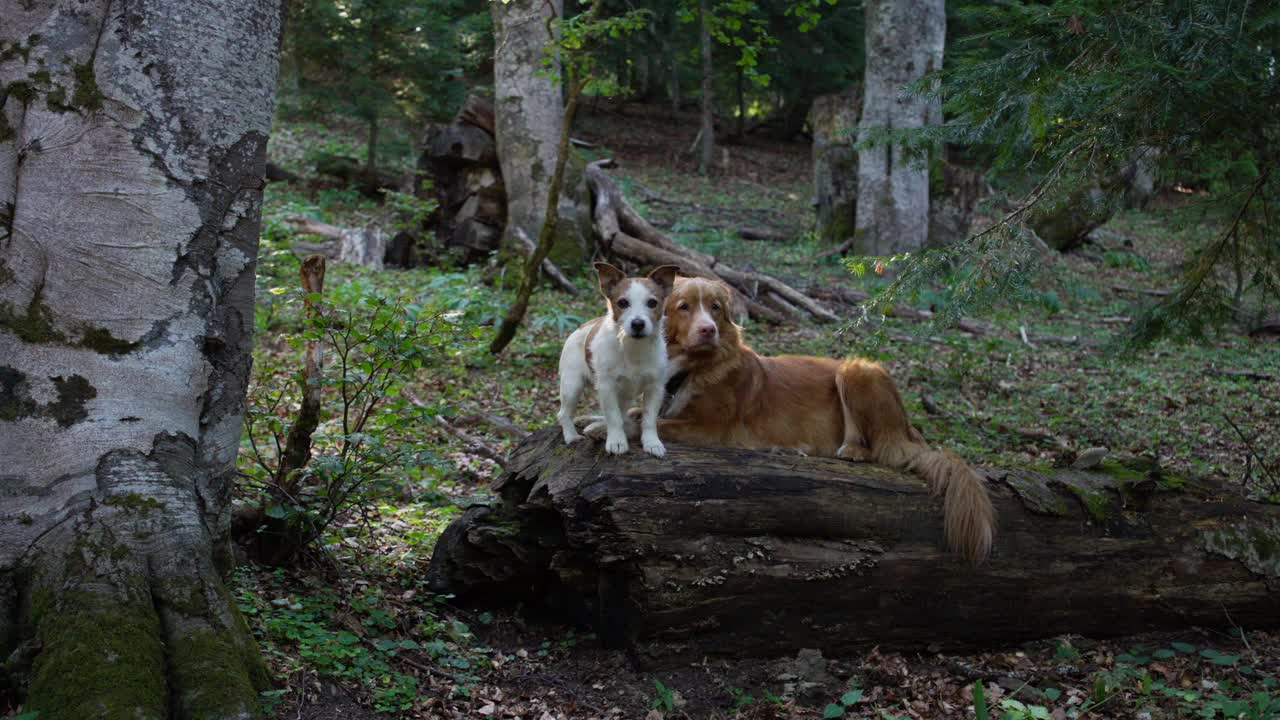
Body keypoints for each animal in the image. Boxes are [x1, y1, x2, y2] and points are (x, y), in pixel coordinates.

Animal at [558, 263, 680, 453]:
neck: (633, 348)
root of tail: (581, 327)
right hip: (572, 385)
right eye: (623, 303)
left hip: (625, 396)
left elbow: (649, 419)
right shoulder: (607, 388)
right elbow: (613, 417)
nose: (638, 324)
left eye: (652, 303)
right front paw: (616, 441)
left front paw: (652, 442)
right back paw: (571, 436)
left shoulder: (655, 388)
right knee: (563, 414)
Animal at [655, 274, 993, 561]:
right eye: (684, 307)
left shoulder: (713, 429)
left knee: (876, 449)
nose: (708, 330)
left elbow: (656, 424)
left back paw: (845, 450)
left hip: (856, 368)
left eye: (715, 308)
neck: (694, 367)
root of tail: (907, 427)